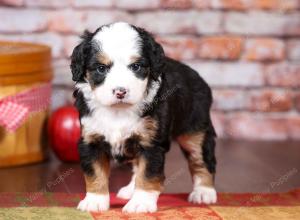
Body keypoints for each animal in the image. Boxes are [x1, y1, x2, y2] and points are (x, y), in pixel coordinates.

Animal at [71, 21, 216, 213]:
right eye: (101, 68)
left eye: (136, 66)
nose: (120, 91)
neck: (118, 111)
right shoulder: (91, 140)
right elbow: (95, 173)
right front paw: (94, 201)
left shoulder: (151, 143)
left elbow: (148, 174)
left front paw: (141, 203)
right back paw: (130, 190)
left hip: (194, 131)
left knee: (201, 160)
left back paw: (204, 192)